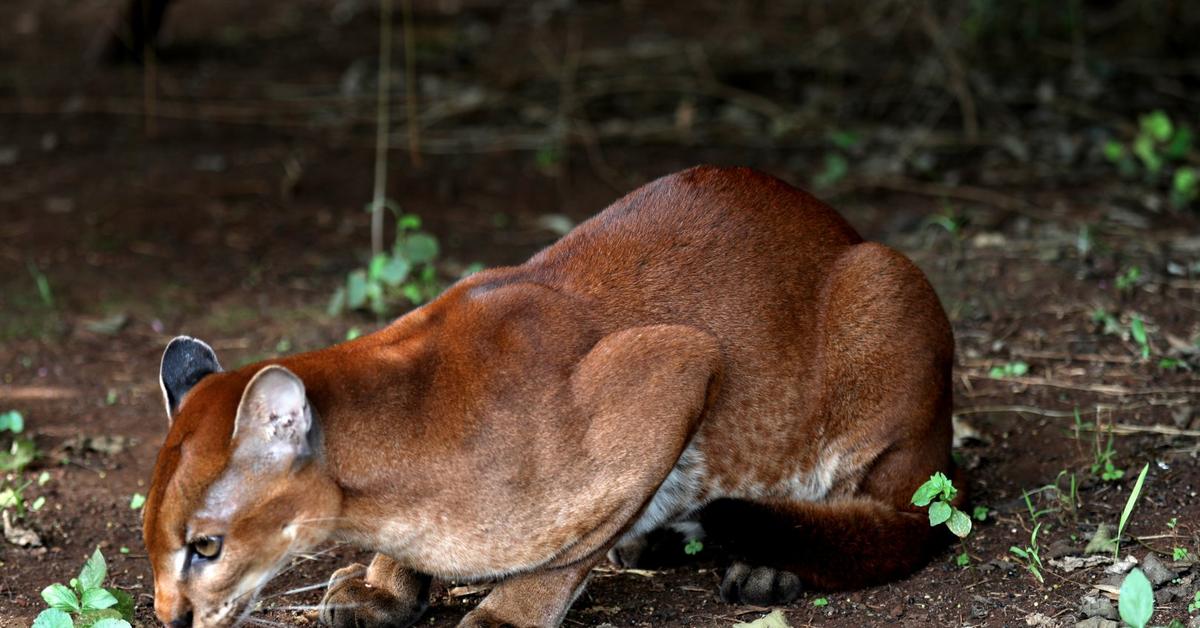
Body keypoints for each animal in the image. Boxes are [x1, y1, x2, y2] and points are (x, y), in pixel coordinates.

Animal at [142, 164, 955, 624]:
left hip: (884, 289)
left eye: (206, 547)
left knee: (886, 513)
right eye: (153, 540)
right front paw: (387, 589)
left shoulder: (676, 364)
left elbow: (571, 547)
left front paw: (508, 615)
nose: (170, 618)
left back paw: (764, 560)